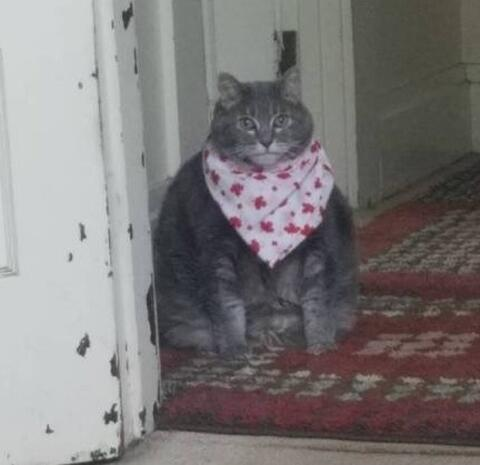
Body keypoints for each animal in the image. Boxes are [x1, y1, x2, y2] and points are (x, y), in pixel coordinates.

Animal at [152, 68, 358, 356]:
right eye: (246, 122)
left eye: (281, 119)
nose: (266, 140)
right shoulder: (216, 248)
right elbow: (226, 303)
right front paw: (234, 349)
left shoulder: (319, 242)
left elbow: (318, 298)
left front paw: (320, 341)